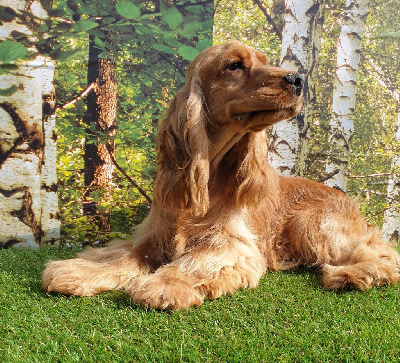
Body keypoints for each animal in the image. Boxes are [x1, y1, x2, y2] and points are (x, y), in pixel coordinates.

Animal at [41, 42, 400, 310]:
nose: (297, 80)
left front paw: (166, 284)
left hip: (312, 224)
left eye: (264, 62)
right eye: (235, 65)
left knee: (382, 254)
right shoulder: (152, 234)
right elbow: (121, 256)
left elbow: (196, 262)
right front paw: (79, 271)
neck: (208, 174)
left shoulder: (230, 244)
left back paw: (351, 276)